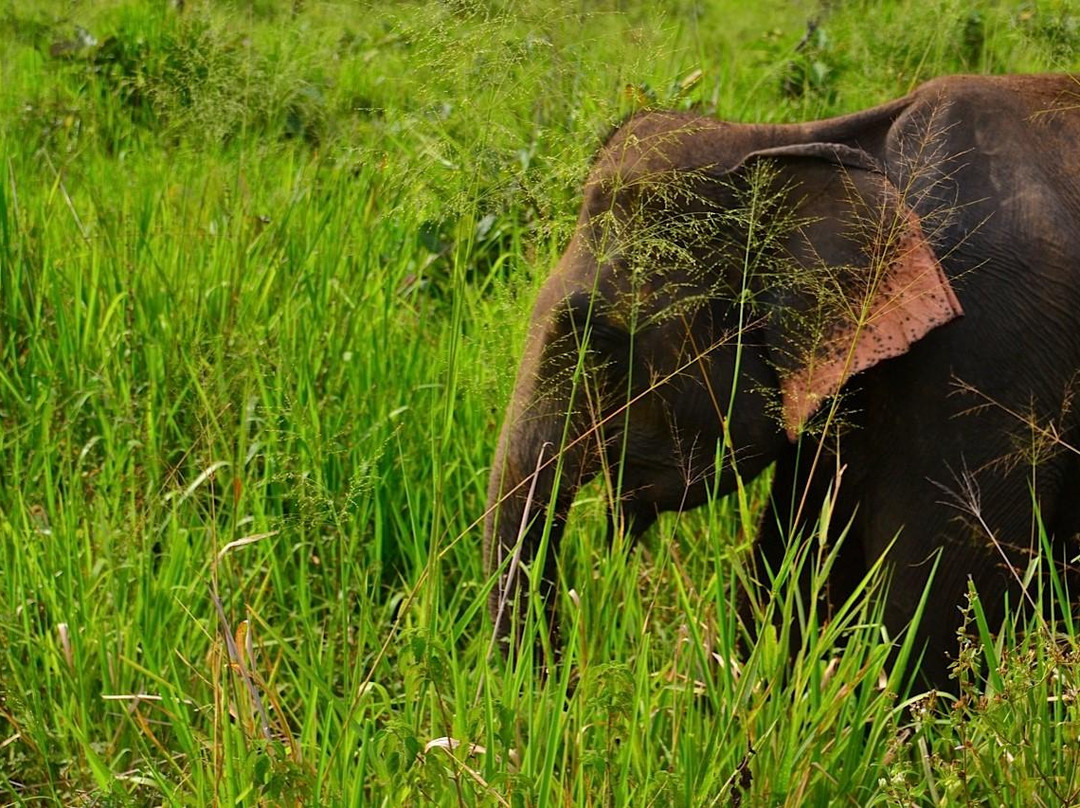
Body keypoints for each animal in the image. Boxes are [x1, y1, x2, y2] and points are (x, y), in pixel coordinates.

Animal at [486, 73, 1080, 687]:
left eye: (598, 337)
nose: (574, 681)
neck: (784, 140)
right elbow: (794, 563)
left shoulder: (991, 346)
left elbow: (935, 614)